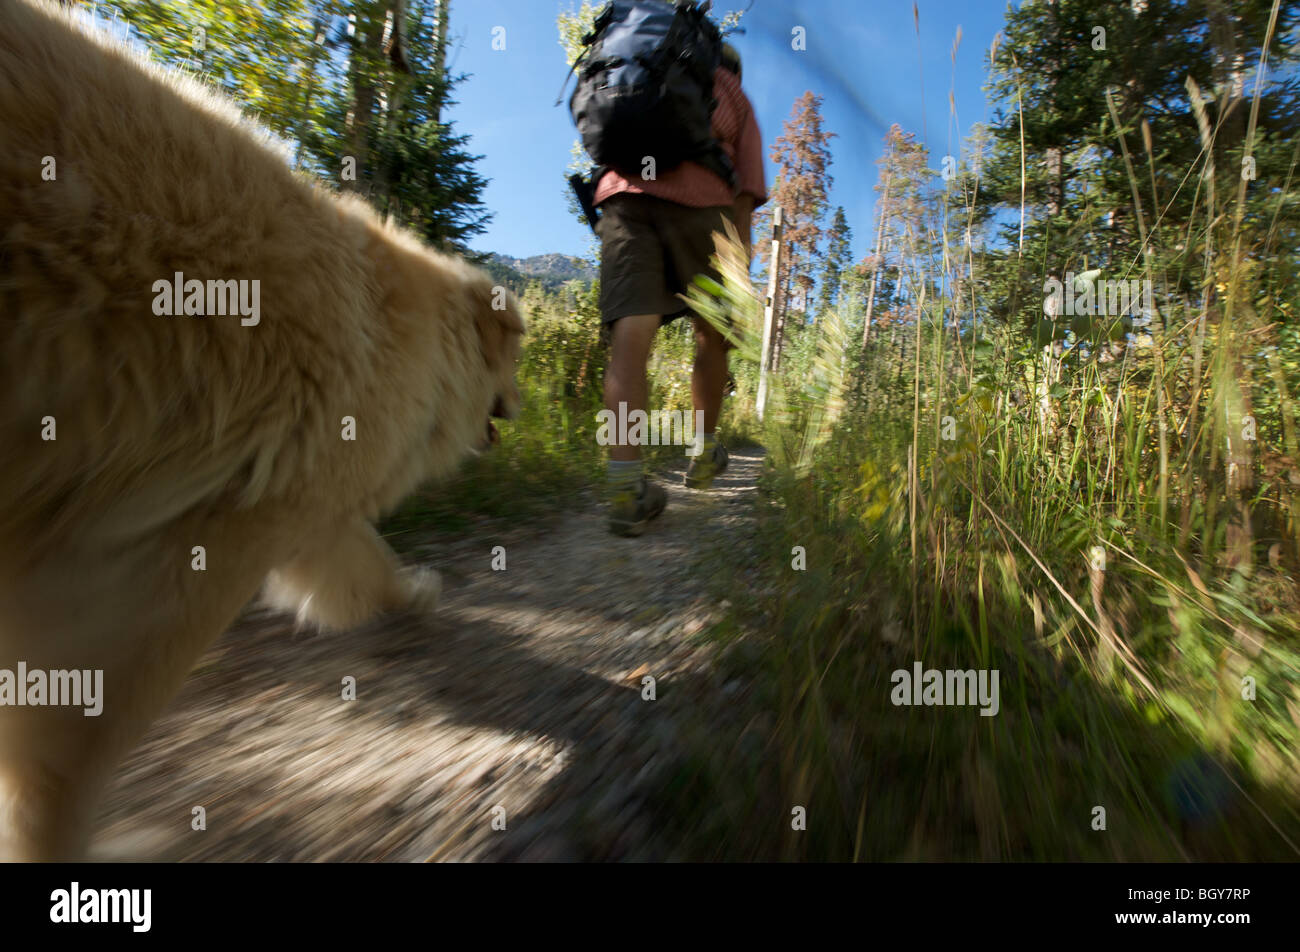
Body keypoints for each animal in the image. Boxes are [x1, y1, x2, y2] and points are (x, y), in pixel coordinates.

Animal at [3, 0, 527, 863]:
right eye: (511, 360)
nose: (518, 409)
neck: (417, 338)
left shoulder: (305, 507)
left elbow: (368, 564)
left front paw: (411, 595)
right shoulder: (212, 539)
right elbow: (84, 735)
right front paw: (49, 832)